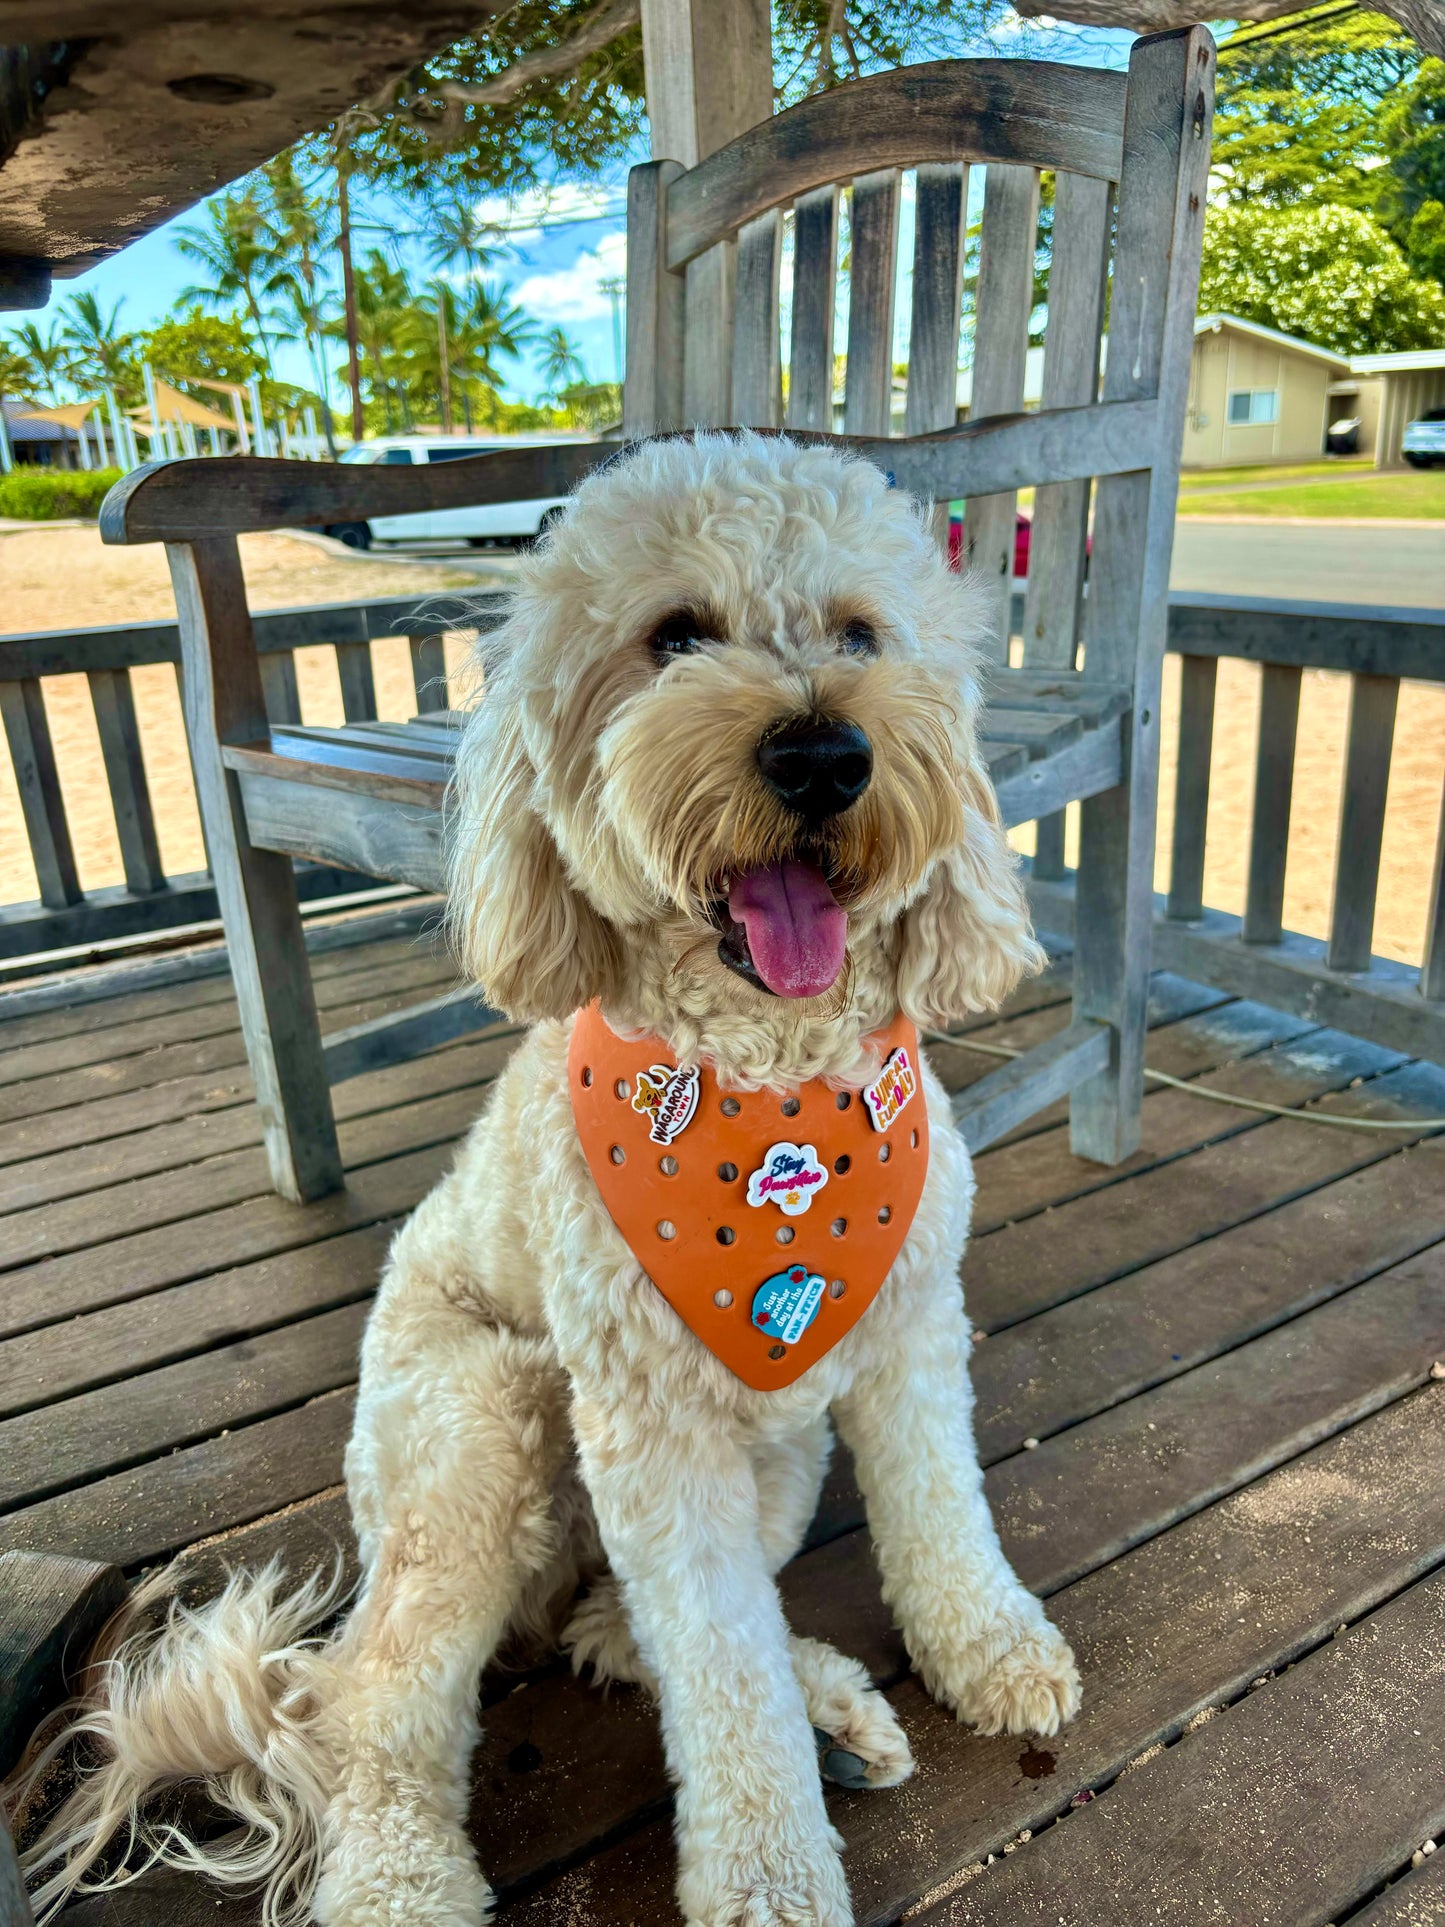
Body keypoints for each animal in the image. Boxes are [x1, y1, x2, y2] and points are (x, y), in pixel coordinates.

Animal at [16, 437, 1078, 1927]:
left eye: (862, 633)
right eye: (674, 634)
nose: (822, 753)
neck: (770, 1092)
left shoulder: (907, 1335)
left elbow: (938, 1515)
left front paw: (991, 1650)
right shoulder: (653, 1434)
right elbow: (716, 1673)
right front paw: (768, 1871)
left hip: (768, 1453)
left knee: (604, 1624)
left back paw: (827, 1705)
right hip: (480, 1433)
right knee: (376, 1694)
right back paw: (401, 1882)